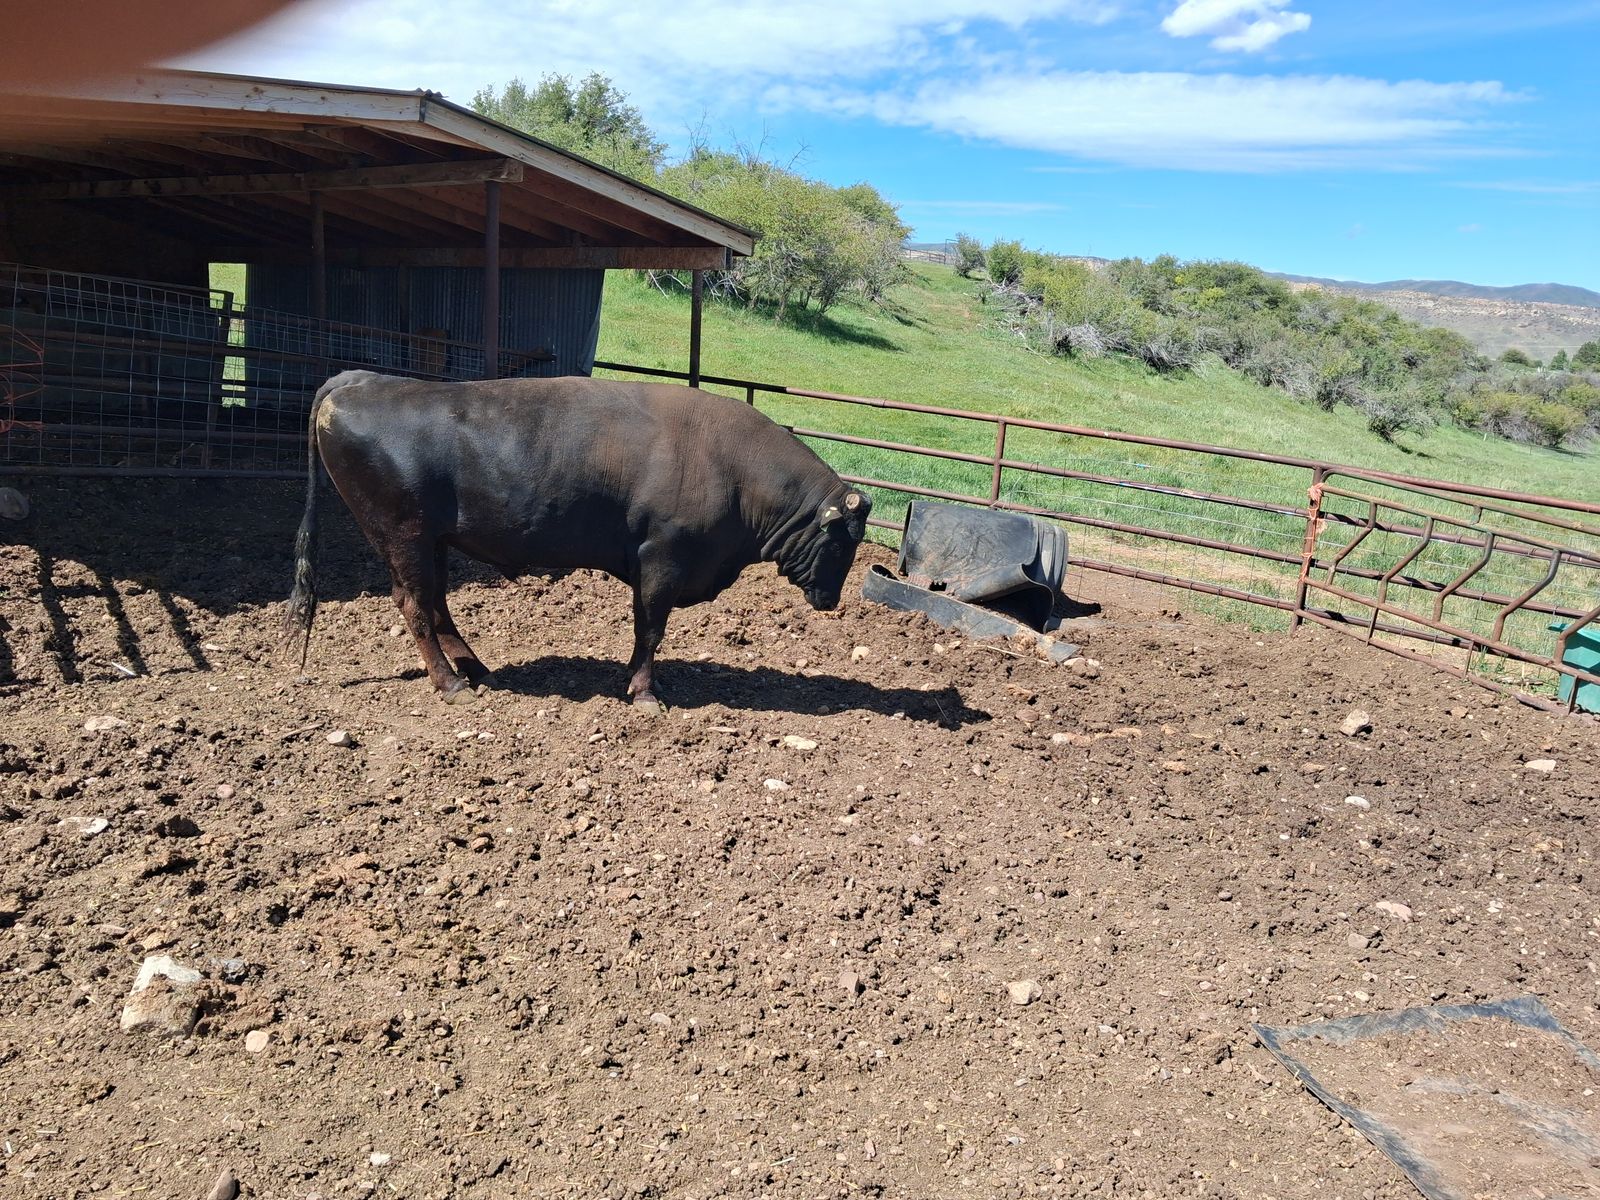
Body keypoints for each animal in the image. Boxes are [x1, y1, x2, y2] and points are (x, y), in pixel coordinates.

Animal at [283, 370, 872, 707]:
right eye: (843, 542)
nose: (831, 600)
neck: (732, 468)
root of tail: (359, 381)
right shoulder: (662, 560)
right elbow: (651, 630)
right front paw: (644, 692)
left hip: (432, 541)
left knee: (435, 604)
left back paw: (475, 669)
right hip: (403, 535)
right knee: (414, 605)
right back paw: (449, 685)